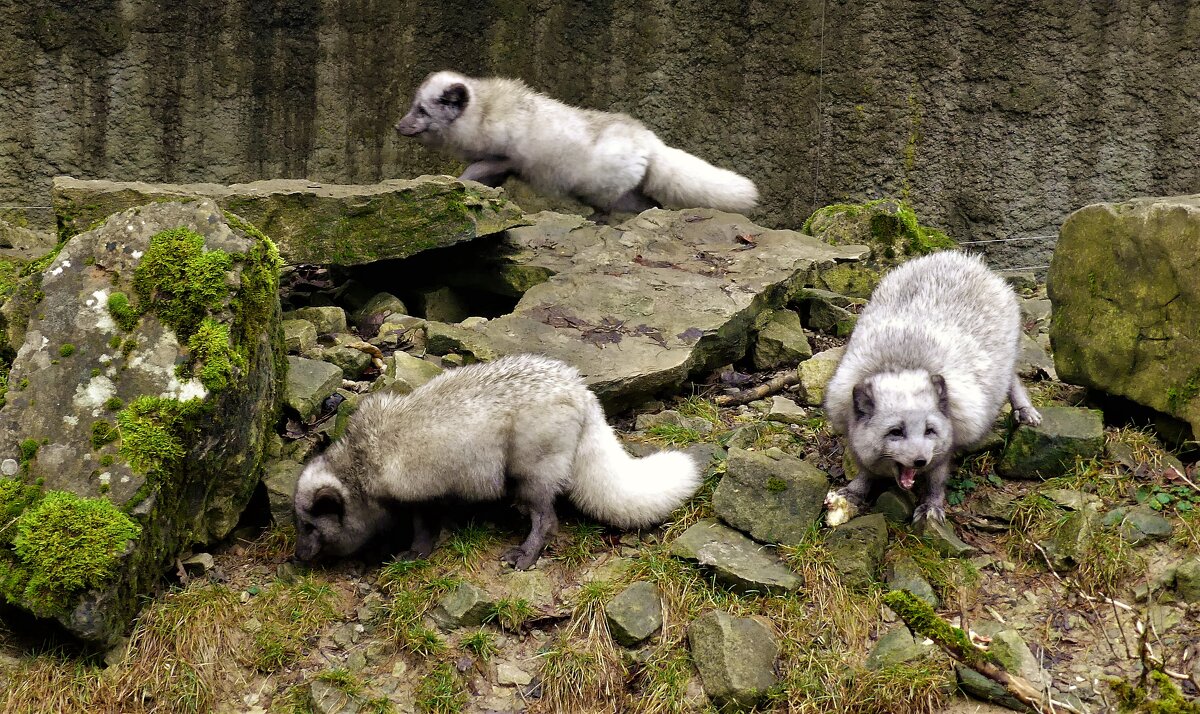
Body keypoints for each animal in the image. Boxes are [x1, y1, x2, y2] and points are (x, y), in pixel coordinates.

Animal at [292, 352, 700, 568]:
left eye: (310, 527)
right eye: (299, 526)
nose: (295, 557)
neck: (359, 465)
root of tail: (581, 391)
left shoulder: (418, 495)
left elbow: (423, 529)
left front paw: (414, 553)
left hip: (531, 473)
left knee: (547, 519)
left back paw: (526, 554)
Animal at [396, 72, 758, 219]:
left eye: (422, 110)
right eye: (413, 106)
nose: (397, 126)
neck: (483, 110)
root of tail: (650, 140)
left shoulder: (506, 158)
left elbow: (473, 170)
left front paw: (456, 184)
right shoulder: (498, 165)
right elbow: (483, 178)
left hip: (608, 194)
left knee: (637, 208)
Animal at [825, 252, 1041, 525]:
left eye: (930, 430)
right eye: (895, 432)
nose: (920, 461)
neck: (903, 365)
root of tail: (963, 257)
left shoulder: (950, 439)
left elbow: (937, 478)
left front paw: (932, 505)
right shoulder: (850, 426)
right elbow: (865, 467)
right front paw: (855, 491)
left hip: (1007, 358)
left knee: (1013, 379)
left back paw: (1025, 410)